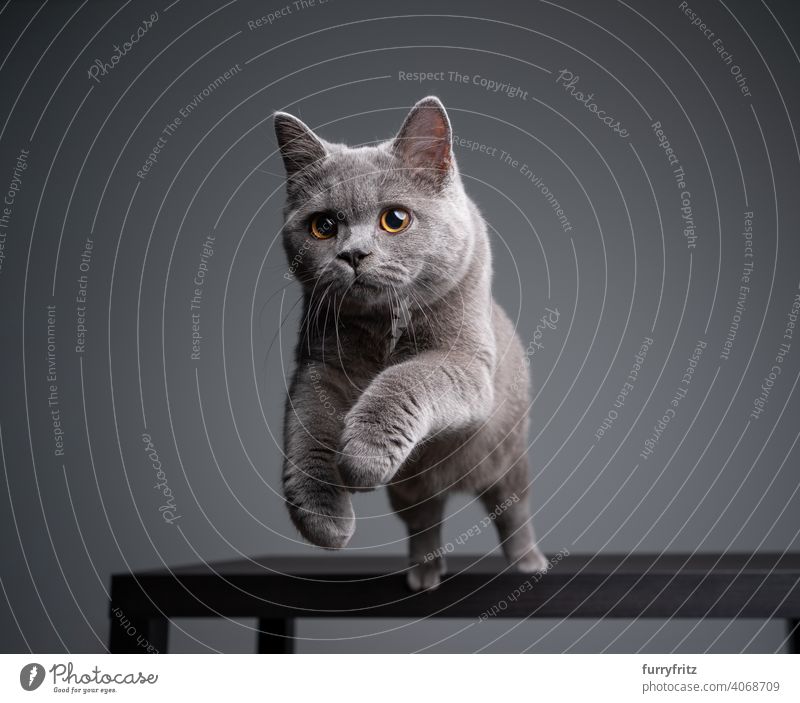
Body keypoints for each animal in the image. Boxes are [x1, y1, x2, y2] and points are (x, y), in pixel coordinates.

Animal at [272, 96, 548, 592]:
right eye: (323, 226)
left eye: (395, 220)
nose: (353, 254)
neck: (382, 327)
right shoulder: (319, 365)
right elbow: (306, 430)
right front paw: (324, 519)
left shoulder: (466, 361)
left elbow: (406, 378)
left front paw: (362, 458)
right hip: (412, 490)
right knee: (425, 521)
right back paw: (424, 573)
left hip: (508, 458)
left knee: (512, 510)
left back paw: (528, 562)